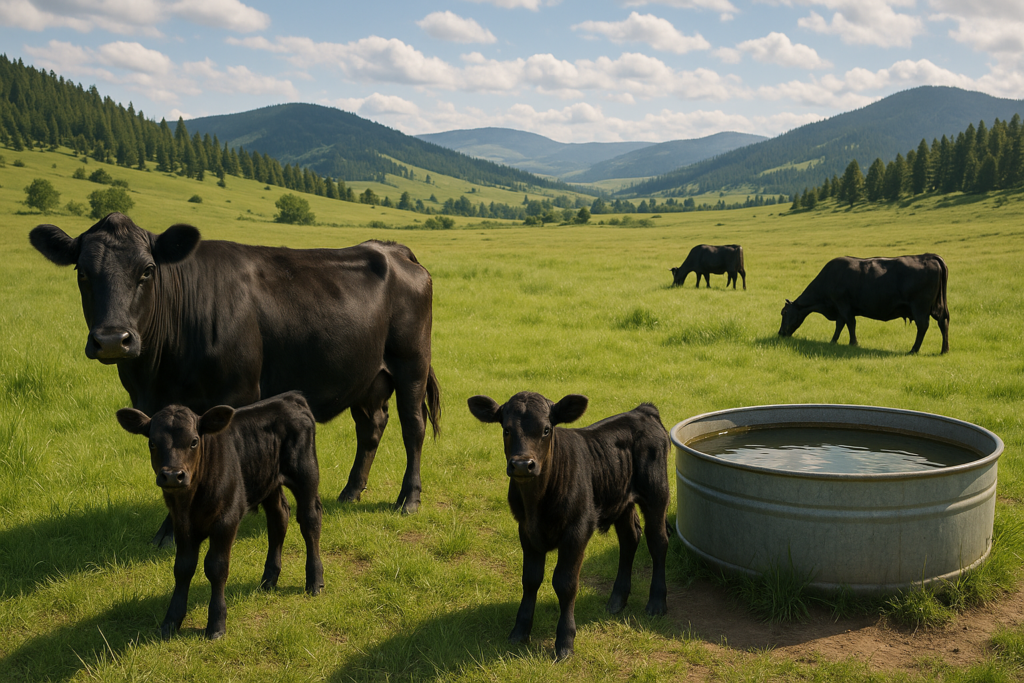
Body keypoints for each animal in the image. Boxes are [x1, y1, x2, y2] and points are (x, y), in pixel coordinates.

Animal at [29, 213, 441, 546]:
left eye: (146, 270)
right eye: (82, 272)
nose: (114, 339)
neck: (157, 373)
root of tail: (391, 248)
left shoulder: (237, 393)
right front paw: (168, 531)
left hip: (412, 363)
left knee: (413, 427)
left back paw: (409, 498)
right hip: (367, 376)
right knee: (371, 426)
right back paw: (351, 491)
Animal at [116, 391, 324, 640]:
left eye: (194, 441)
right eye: (152, 442)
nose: (172, 475)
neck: (191, 501)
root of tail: (290, 397)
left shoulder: (226, 520)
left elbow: (216, 568)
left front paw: (216, 624)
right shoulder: (181, 524)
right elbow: (182, 568)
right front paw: (170, 622)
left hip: (306, 474)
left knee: (310, 521)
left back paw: (314, 581)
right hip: (268, 480)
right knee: (278, 518)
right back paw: (268, 579)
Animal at [467, 392, 670, 661]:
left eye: (546, 429)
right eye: (506, 429)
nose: (522, 464)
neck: (536, 504)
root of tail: (642, 411)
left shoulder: (577, 530)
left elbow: (565, 583)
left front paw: (564, 641)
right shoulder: (526, 530)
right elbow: (530, 579)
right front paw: (520, 631)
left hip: (657, 493)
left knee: (657, 541)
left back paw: (656, 602)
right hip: (621, 498)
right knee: (630, 539)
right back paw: (617, 600)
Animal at [778, 253, 950, 354]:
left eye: (784, 313)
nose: (780, 333)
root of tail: (929, 256)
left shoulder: (842, 304)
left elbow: (850, 323)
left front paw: (853, 343)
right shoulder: (840, 307)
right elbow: (840, 325)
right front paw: (833, 341)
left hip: (920, 307)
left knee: (923, 325)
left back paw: (914, 350)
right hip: (938, 306)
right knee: (943, 322)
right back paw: (944, 350)